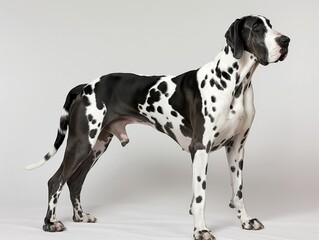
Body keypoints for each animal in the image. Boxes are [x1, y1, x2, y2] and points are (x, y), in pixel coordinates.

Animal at [25, 15, 290, 240]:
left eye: (270, 24)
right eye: (257, 27)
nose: (286, 40)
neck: (235, 83)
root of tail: (84, 86)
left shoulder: (236, 147)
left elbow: (238, 191)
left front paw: (245, 221)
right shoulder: (200, 148)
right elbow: (200, 196)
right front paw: (201, 230)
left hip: (97, 145)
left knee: (75, 181)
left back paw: (80, 216)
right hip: (81, 142)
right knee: (56, 180)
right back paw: (50, 223)